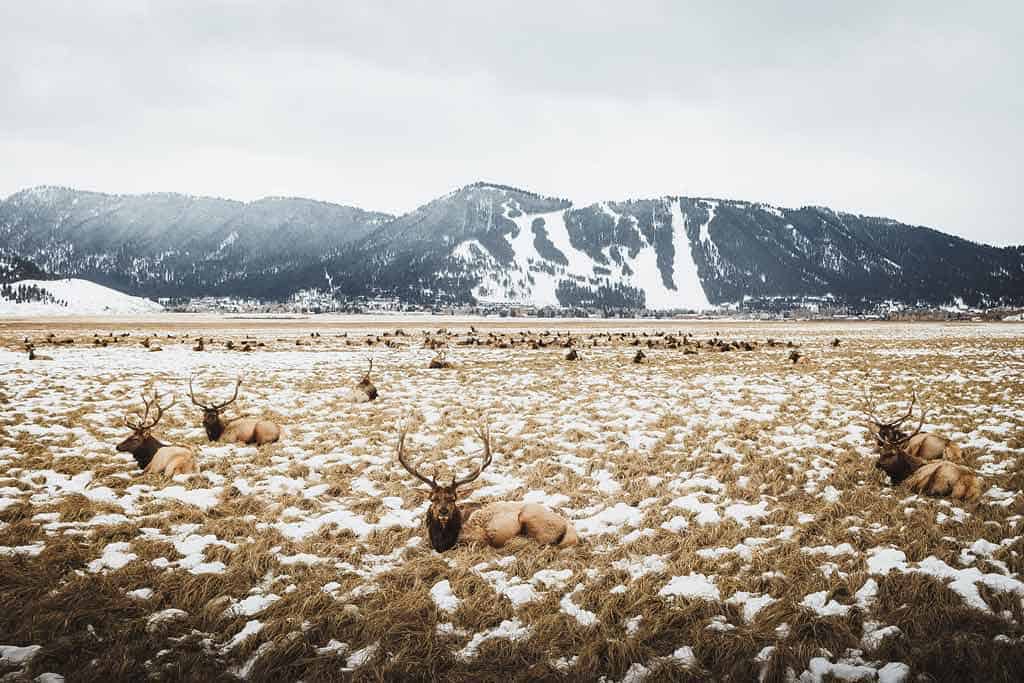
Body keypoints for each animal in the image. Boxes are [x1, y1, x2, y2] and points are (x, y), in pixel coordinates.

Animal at [395, 421, 581, 557]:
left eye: (453, 498)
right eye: (433, 498)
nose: (443, 511)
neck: (442, 541)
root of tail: (569, 528)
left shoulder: (477, 537)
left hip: (532, 519)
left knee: (541, 543)